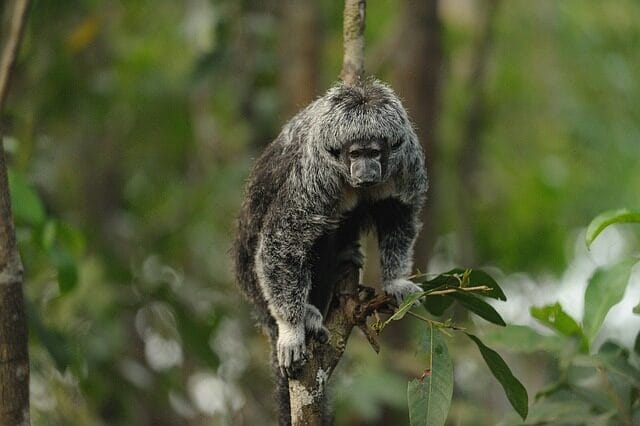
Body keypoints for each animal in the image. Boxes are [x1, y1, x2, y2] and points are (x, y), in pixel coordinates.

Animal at [233, 78, 428, 424]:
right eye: (355, 153)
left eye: (374, 152)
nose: (366, 168)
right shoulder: (314, 177)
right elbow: (280, 242)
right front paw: (292, 329)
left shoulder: (407, 162)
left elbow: (399, 213)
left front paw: (394, 281)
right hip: (253, 282)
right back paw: (308, 313)